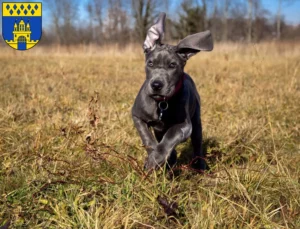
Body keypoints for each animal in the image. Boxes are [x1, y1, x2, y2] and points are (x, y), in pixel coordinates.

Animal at [131, 12, 213, 170]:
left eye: (172, 65)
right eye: (150, 63)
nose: (156, 85)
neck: (161, 103)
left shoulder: (185, 125)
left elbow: (171, 136)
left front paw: (156, 158)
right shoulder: (137, 116)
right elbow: (147, 138)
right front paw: (153, 158)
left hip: (196, 121)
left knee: (197, 144)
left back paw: (200, 166)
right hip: (159, 129)